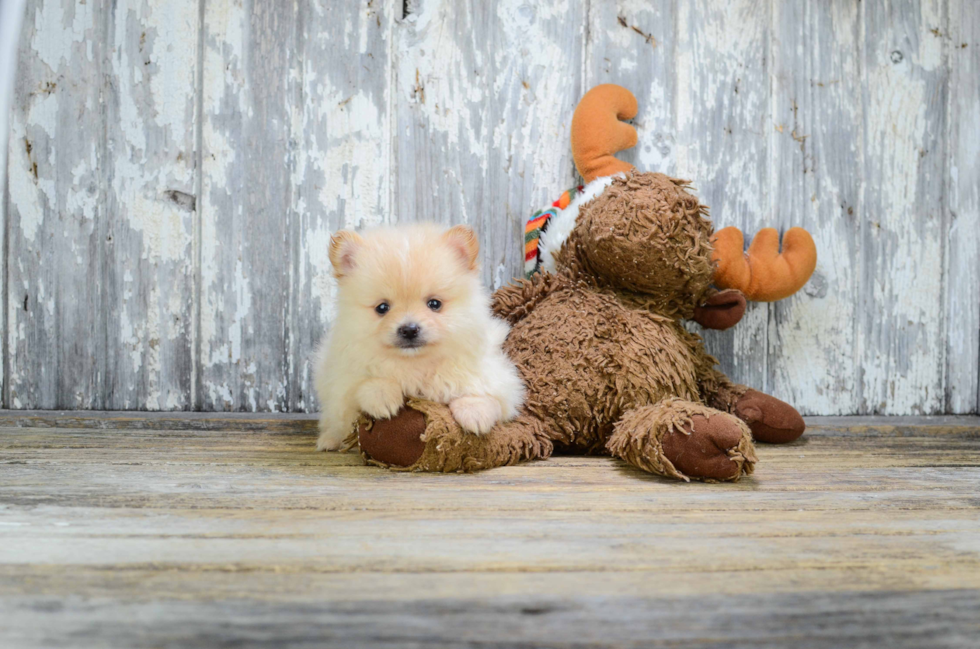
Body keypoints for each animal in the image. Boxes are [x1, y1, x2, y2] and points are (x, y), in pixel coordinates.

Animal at [316, 223, 528, 450]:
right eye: (382, 308)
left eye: (434, 304)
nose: (409, 329)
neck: (415, 364)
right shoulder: (341, 381)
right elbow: (363, 385)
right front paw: (382, 395)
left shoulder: (496, 377)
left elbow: (483, 394)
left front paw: (475, 413)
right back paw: (329, 440)